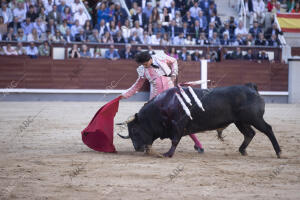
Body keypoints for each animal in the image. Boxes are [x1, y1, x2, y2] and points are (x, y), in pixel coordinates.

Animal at [119, 83, 282, 158]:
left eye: (135, 130)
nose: (137, 148)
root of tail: (251, 88)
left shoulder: (177, 125)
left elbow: (174, 140)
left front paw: (168, 154)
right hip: (240, 122)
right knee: (249, 133)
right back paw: (242, 150)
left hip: (254, 118)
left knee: (268, 129)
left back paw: (279, 152)